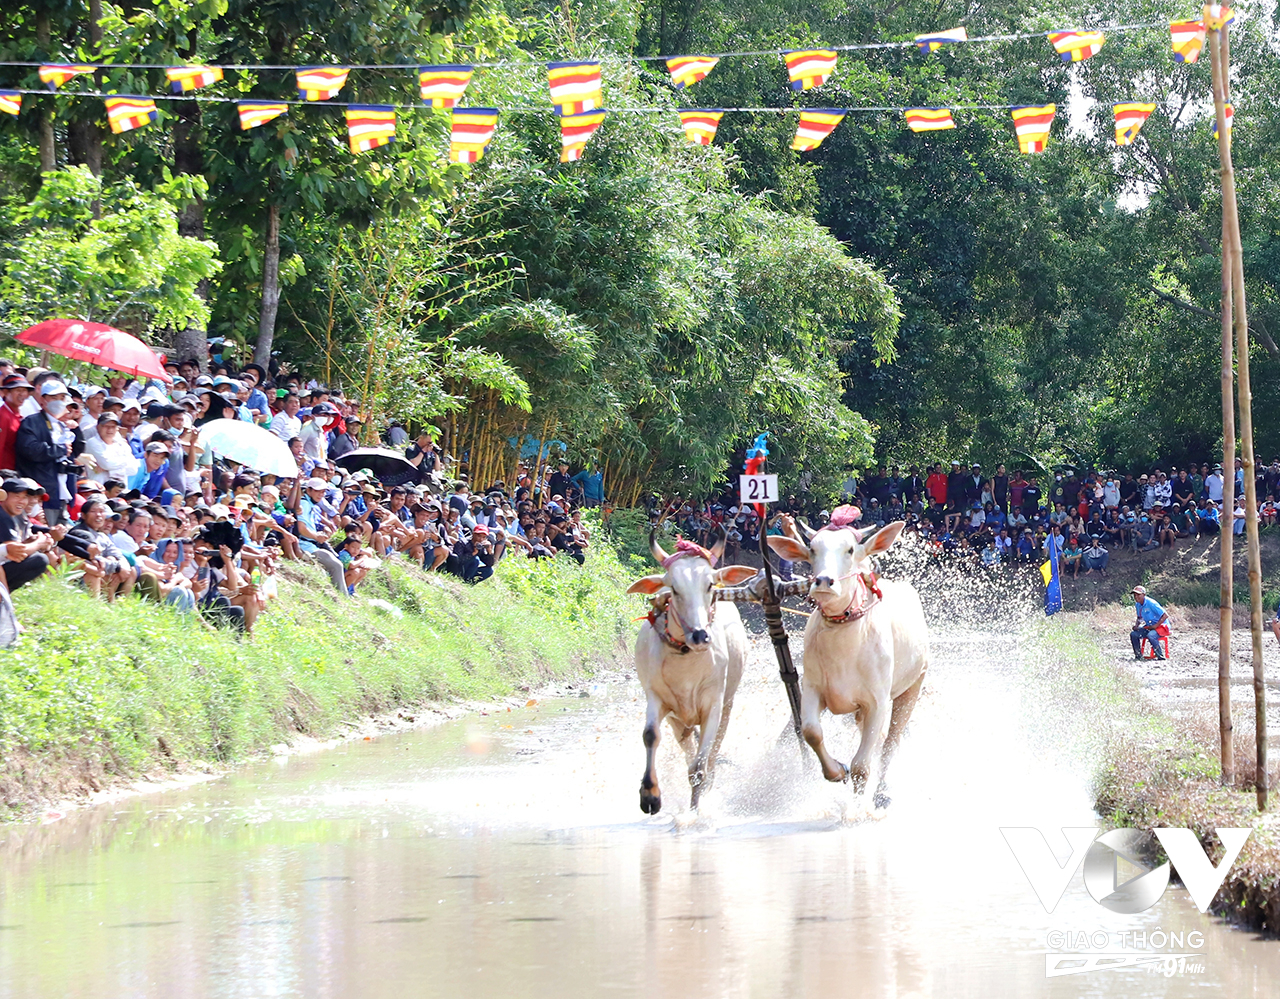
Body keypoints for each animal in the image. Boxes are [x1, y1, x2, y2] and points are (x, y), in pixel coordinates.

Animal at [624, 530, 752, 809]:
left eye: (709, 585)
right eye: (674, 588)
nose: (700, 635)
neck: (685, 661)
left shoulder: (714, 704)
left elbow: (700, 766)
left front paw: (695, 807)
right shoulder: (657, 697)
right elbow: (650, 735)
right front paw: (650, 794)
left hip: (728, 703)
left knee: (713, 748)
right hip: (678, 719)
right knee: (686, 744)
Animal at [762, 514, 926, 804]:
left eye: (849, 550)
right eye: (812, 549)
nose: (823, 581)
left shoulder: (877, 703)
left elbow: (862, 766)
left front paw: (856, 807)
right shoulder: (813, 689)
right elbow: (811, 732)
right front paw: (837, 771)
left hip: (914, 685)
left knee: (890, 743)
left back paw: (882, 792)